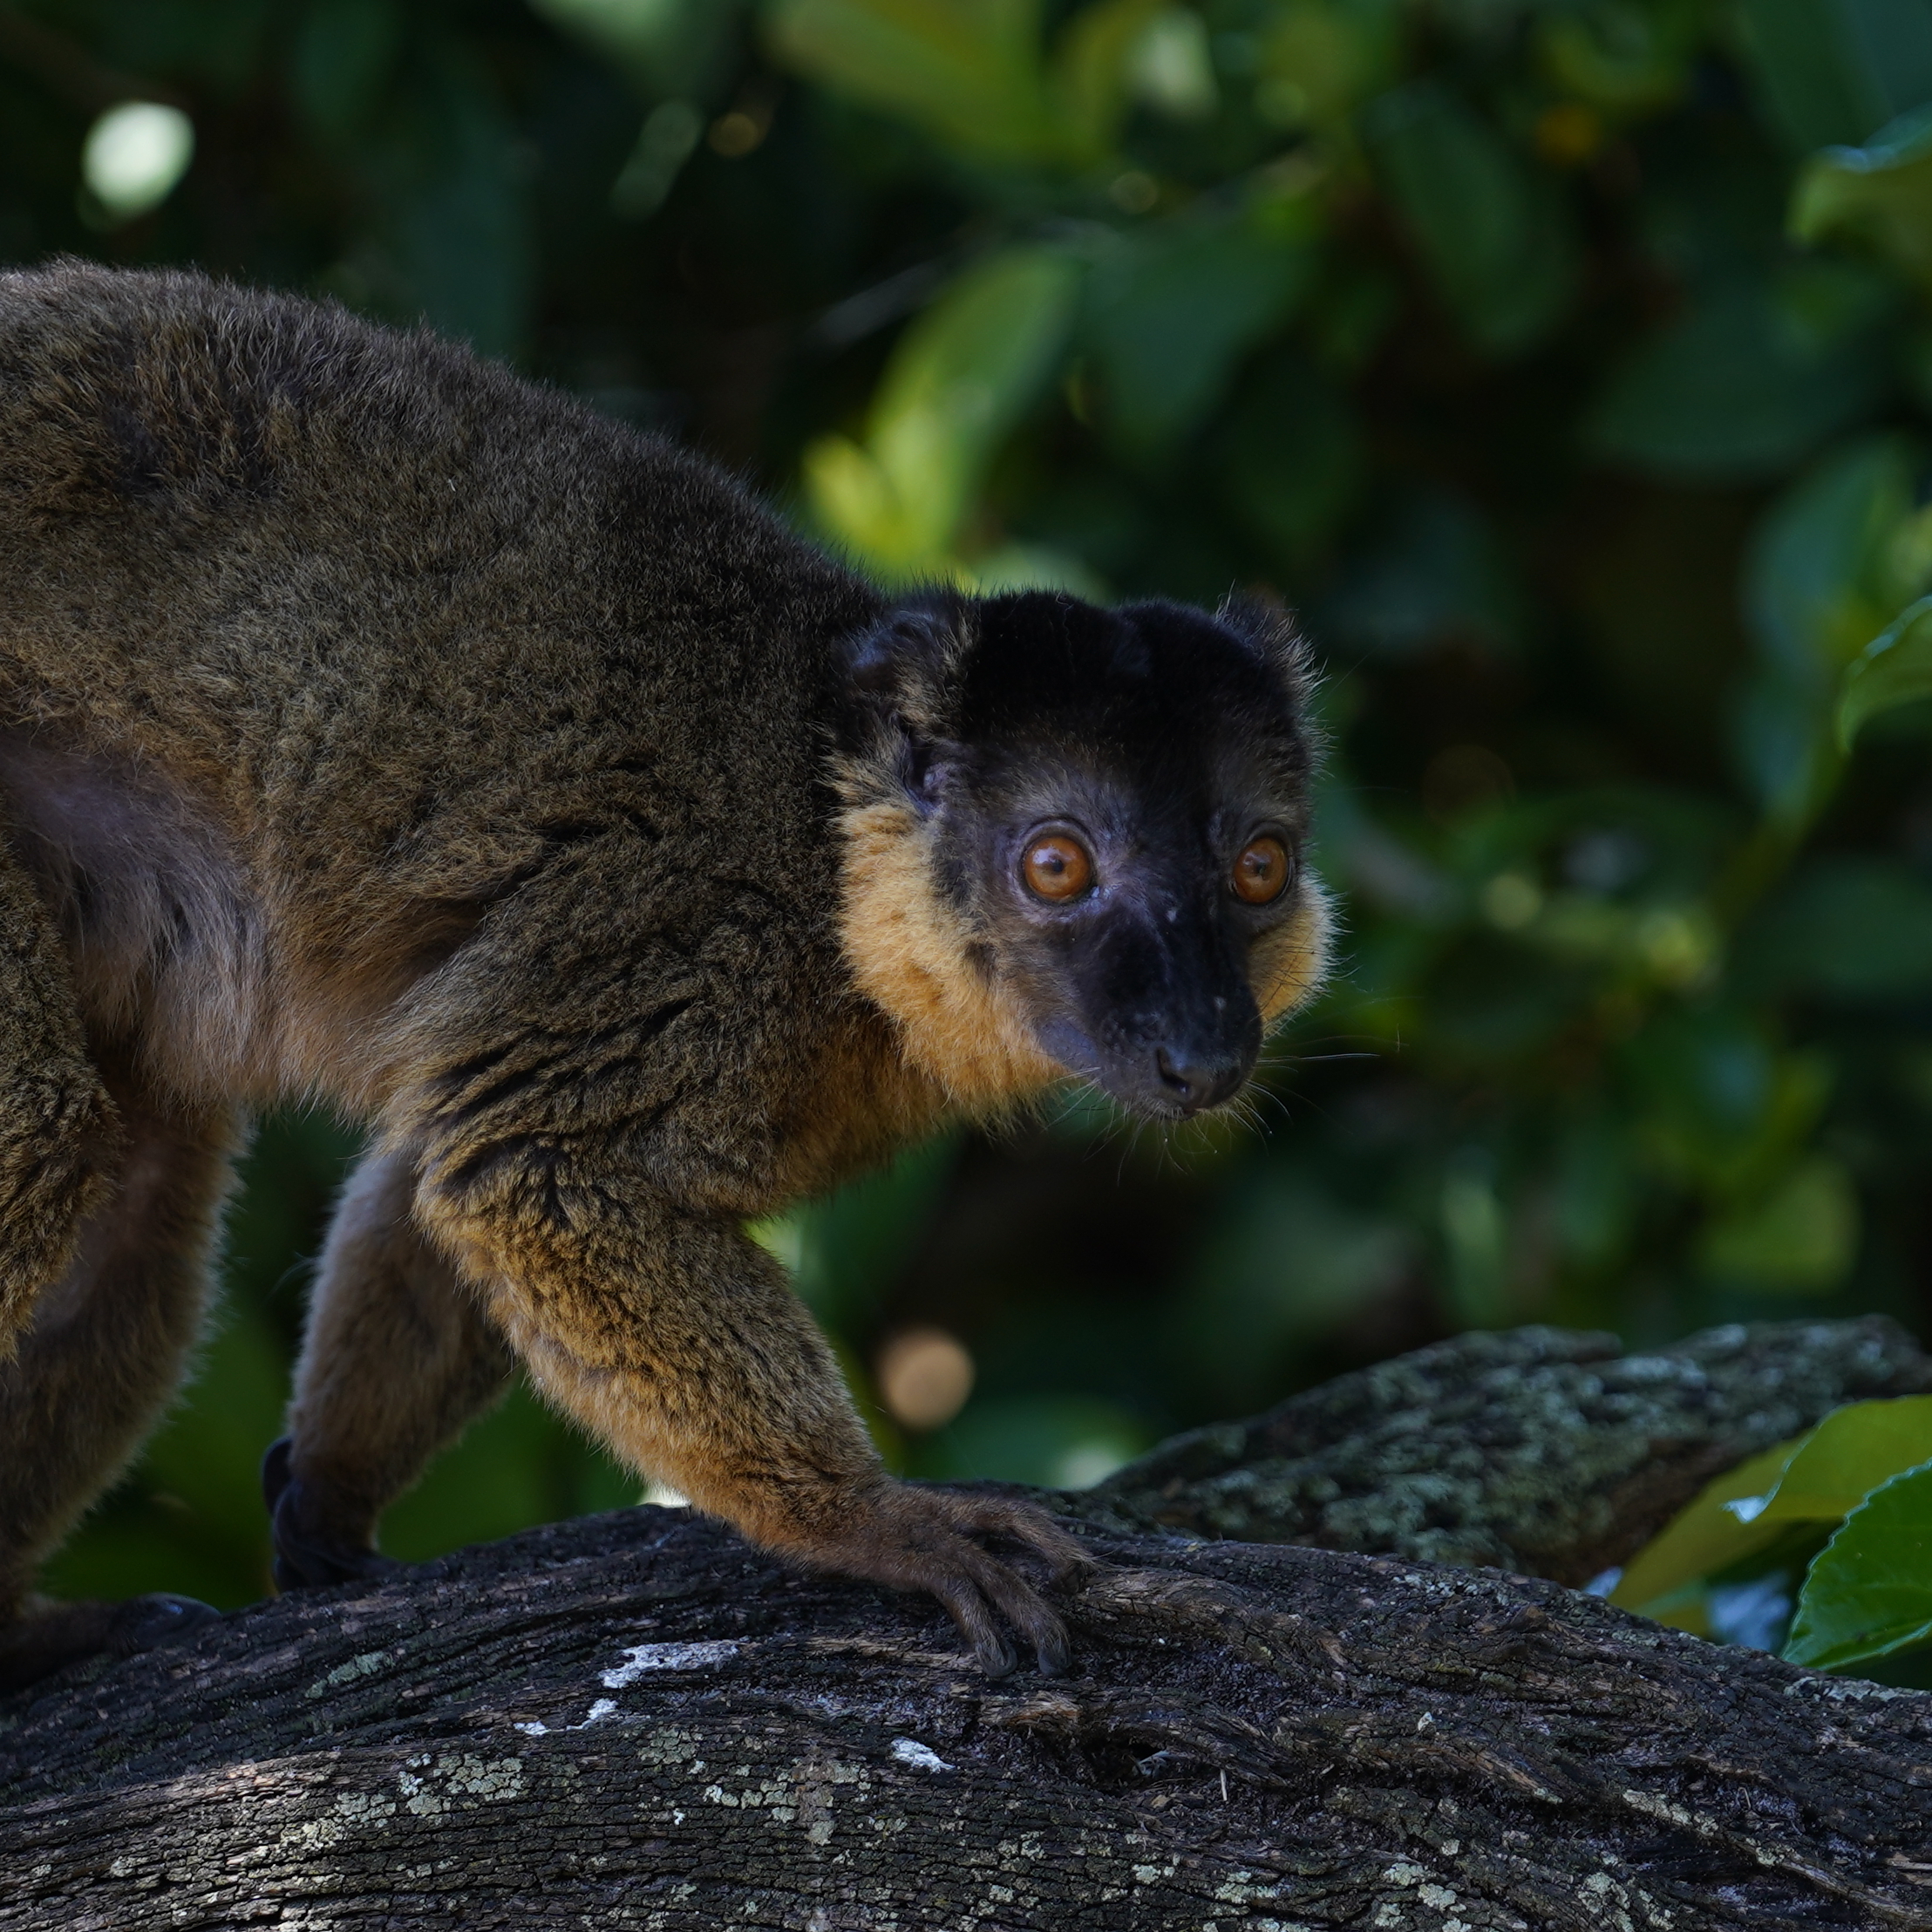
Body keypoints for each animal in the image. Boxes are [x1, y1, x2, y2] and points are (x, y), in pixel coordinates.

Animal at [0, 260, 1328, 1691]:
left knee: (131, 1210)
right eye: (1057, 867)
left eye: (1257, 869)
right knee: (46, 1140)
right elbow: (535, 1168)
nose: (1203, 1046)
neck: (822, 865)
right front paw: (868, 1519)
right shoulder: (682, 931)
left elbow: (442, 1167)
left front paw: (330, 1496)